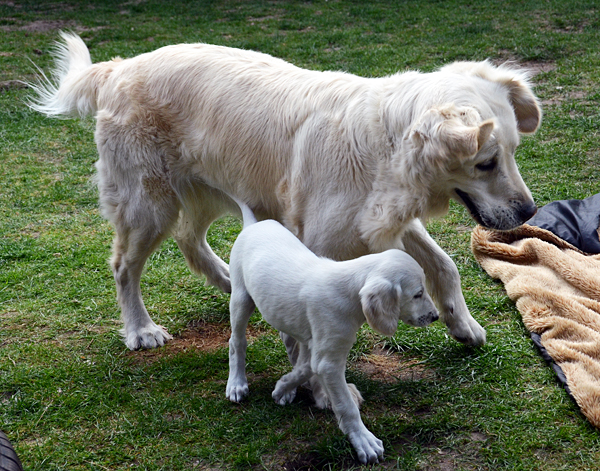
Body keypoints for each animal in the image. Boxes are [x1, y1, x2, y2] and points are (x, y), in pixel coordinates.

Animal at [30, 33, 540, 350]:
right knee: (124, 266)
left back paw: (232, 281)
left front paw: (463, 325)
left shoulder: (384, 222)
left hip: (212, 189)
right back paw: (140, 329)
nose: (528, 212)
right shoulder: (330, 242)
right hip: (148, 203)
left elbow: (444, 265)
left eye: (514, 151)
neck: (385, 144)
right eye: (485, 163)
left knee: (190, 240)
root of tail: (120, 66)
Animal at [227, 219, 438, 466]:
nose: (435, 316)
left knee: (290, 343)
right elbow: (346, 405)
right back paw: (236, 384)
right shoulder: (328, 359)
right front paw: (364, 442)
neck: (348, 291)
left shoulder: (319, 346)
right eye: (417, 294)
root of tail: (253, 223)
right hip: (241, 299)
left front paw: (283, 387)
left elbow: (306, 368)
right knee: (236, 342)